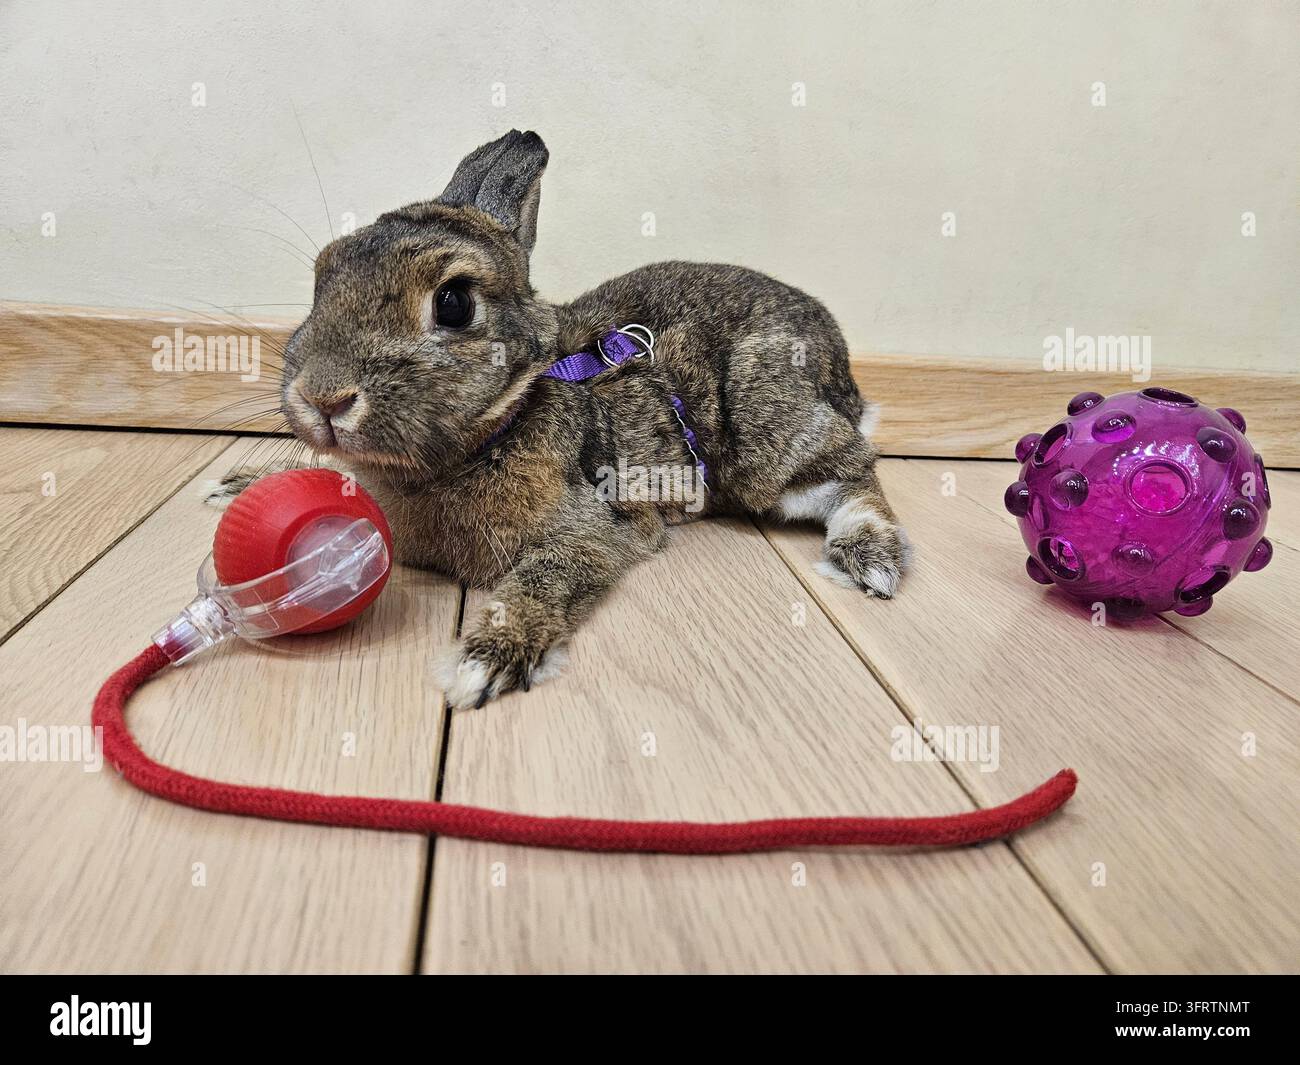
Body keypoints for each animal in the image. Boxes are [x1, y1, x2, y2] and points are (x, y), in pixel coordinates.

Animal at [266, 129, 909, 709]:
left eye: (453, 303)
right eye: (322, 276)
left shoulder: (597, 533)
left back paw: (870, 559)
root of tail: (839, 363)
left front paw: (482, 664)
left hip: (767, 431)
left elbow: (548, 578)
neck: (497, 428)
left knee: (854, 471)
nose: (323, 397)